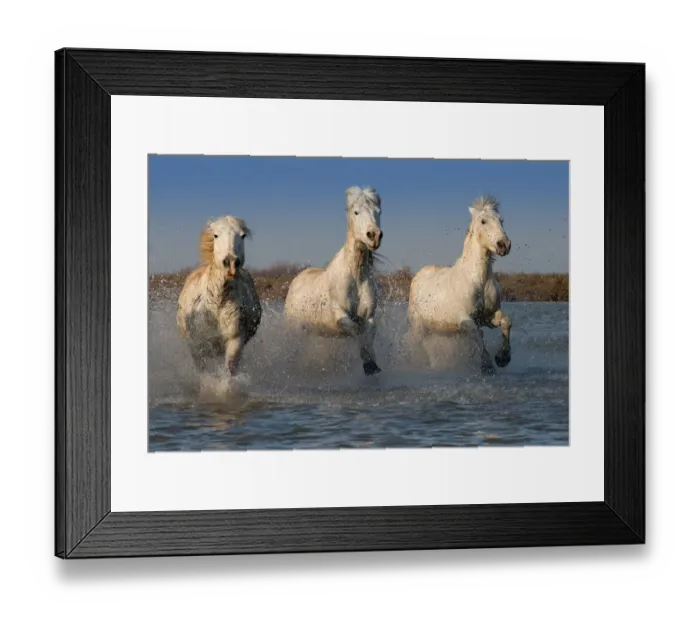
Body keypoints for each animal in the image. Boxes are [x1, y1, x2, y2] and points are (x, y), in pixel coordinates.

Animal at [176, 216, 262, 378]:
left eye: (242, 235)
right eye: (216, 235)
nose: (231, 262)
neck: (215, 304)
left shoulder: (235, 341)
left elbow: (228, 373)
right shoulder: (197, 347)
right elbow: (204, 374)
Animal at [284, 186, 384, 376]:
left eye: (378, 211)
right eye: (356, 212)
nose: (374, 235)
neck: (355, 275)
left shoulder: (369, 316)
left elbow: (368, 335)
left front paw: (372, 364)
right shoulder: (340, 315)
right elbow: (356, 331)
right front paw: (368, 364)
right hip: (296, 331)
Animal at [407, 195, 512, 373]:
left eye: (501, 220)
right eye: (483, 221)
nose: (504, 245)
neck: (478, 280)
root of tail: (418, 277)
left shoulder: (488, 316)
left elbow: (506, 322)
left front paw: (503, 358)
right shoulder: (466, 320)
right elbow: (478, 335)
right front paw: (487, 364)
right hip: (418, 327)